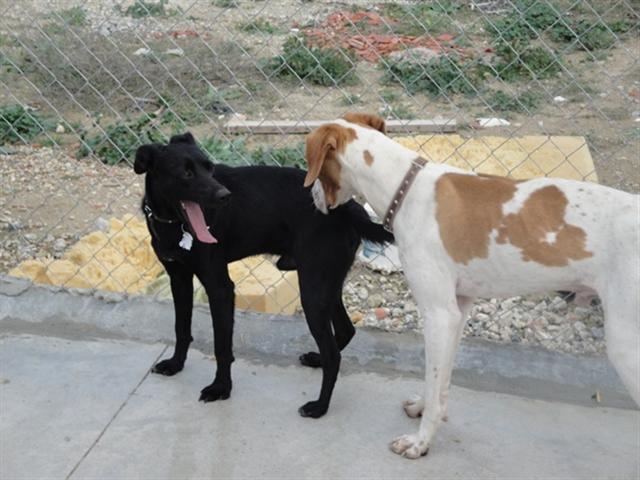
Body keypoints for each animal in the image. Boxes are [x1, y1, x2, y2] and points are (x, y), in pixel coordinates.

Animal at [133, 132, 393, 418]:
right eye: (186, 173)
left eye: (209, 168)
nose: (225, 196)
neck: (173, 224)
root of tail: (348, 208)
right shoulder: (178, 279)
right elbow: (181, 328)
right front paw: (175, 364)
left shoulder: (220, 287)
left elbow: (222, 345)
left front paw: (221, 388)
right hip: (325, 282)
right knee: (345, 331)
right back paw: (317, 360)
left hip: (313, 289)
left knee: (333, 354)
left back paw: (319, 406)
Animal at [303, 112, 640, 458]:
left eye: (310, 165)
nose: (312, 200)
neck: (405, 188)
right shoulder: (459, 310)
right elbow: (440, 383)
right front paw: (425, 409)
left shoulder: (439, 315)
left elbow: (433, 378)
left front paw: (420, 442)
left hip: (626, 344)